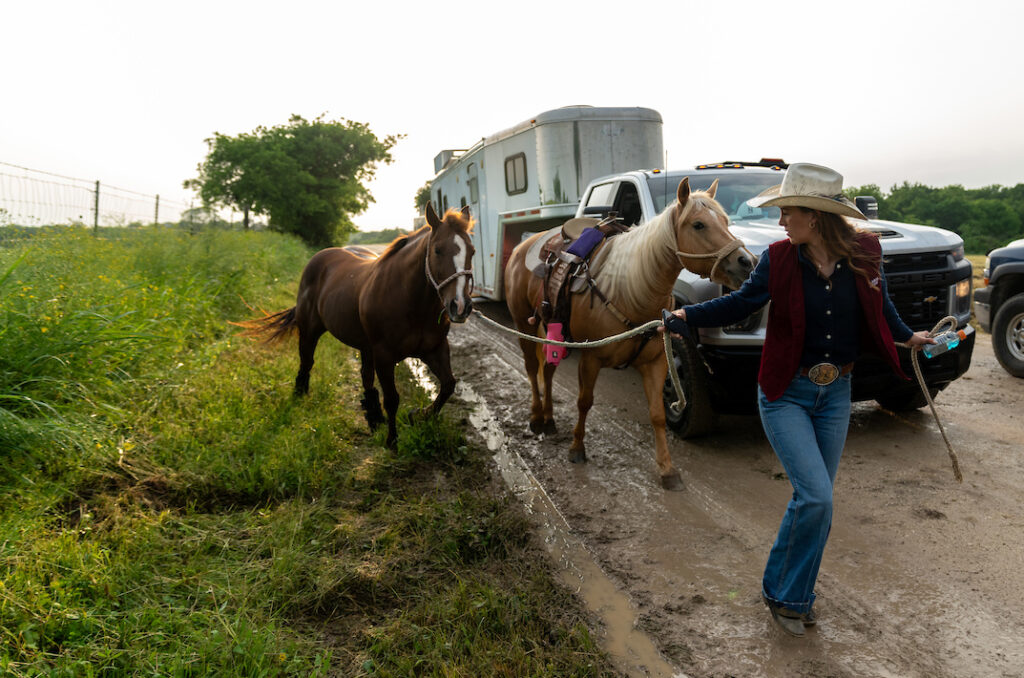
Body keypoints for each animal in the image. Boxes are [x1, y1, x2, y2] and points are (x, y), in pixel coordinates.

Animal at [242, 202, 475, 446]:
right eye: (437, 250)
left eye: (472, 251)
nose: (460, 306)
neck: (409, 300)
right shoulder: (384, 355)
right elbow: (392, 399)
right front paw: (392, 441)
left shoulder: (435, 349)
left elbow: (448, 385)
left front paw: (418, 415)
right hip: (309, 331)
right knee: (307, 362)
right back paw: (300, 395)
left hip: (365, 346)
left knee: (366, 377)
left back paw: (374, 418)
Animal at [501, 178, 753, 491]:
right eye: (698, 225)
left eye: (725, 220)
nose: (747, 262)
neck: (630, 289)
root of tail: (524, 245)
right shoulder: (591, 359)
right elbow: (584, 402)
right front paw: (577, 448)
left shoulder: (656, 363)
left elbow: (658, 414)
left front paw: (667, 470)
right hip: (524, 325)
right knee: (532, 367)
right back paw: (536, 417)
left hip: (551, 331)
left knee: (547, 370)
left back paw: (548, 418)